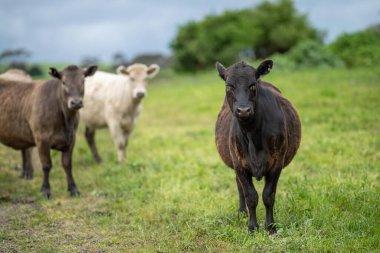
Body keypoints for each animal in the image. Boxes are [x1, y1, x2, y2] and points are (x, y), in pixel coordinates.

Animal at [0, 64, 97, 198]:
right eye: (63, 82)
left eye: (83, 81)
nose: (76, 102)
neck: (65, 120)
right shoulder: (42, 139)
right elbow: (46, 165)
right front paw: (45, 191)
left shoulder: (71, 139)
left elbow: (67, 164)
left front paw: (73, 189)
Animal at [215, 60, 302, 234]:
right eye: (229, 86)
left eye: (253, 85)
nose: (243, 110)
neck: (252, 134)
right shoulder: (239, 164)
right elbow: (251, 196)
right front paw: (252, 227)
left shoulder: (276, 162)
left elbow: (268, 196)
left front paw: (270, 226)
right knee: (239, 187)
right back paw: (242, 212)